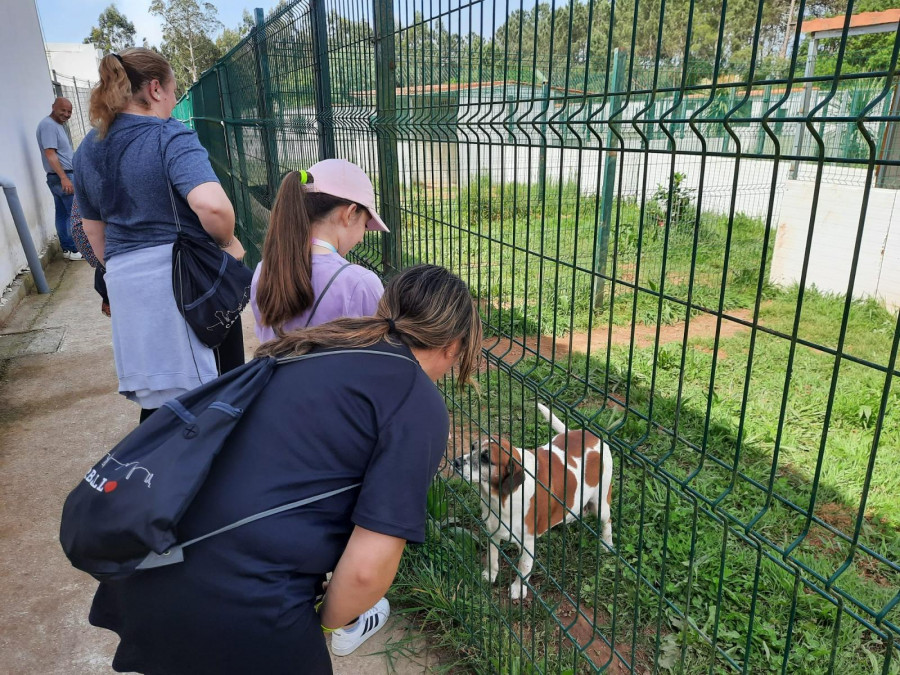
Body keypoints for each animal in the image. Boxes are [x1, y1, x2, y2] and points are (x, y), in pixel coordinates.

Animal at [450, 406, 612, 604]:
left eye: (486, 458)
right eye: (472, 447)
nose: (456, 461)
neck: (503, 497)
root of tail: (591, 435)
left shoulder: (527, 541)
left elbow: (524, 566)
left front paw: (518, 589)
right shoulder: (492, 530)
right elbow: (492, 557)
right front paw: (490, 575)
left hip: (601, 503)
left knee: (607, 521)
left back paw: (607, 544)